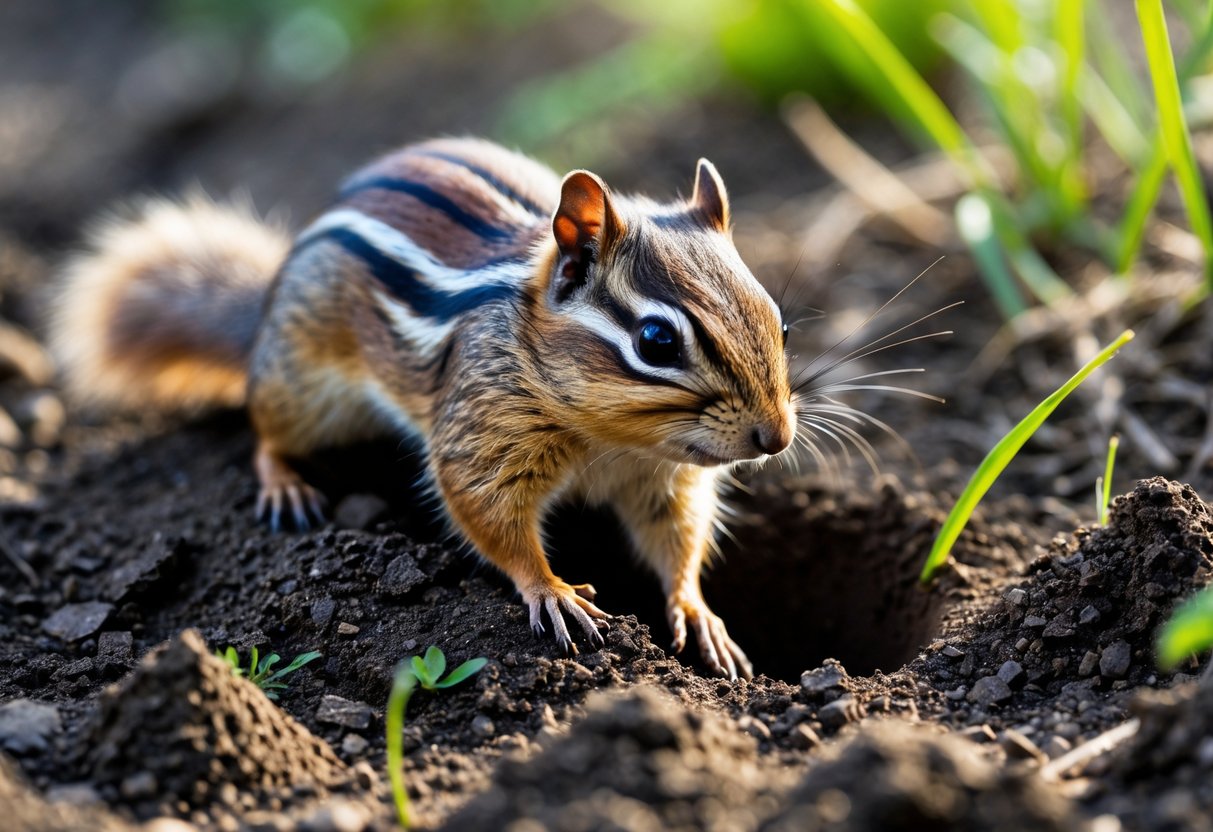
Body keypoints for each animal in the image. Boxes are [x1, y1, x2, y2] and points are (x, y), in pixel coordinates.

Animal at [50, 137, 796, 680]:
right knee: (265, 431)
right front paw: (552, 590)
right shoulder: (480, 432)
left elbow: (678, 539)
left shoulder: (662, 480)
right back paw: (286, 485)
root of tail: (262, 313)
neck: (614, 440)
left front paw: (697, 612)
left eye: (780, 323)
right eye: (655, 340)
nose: (777, 437)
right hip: (301, 387)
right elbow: (488, 515)